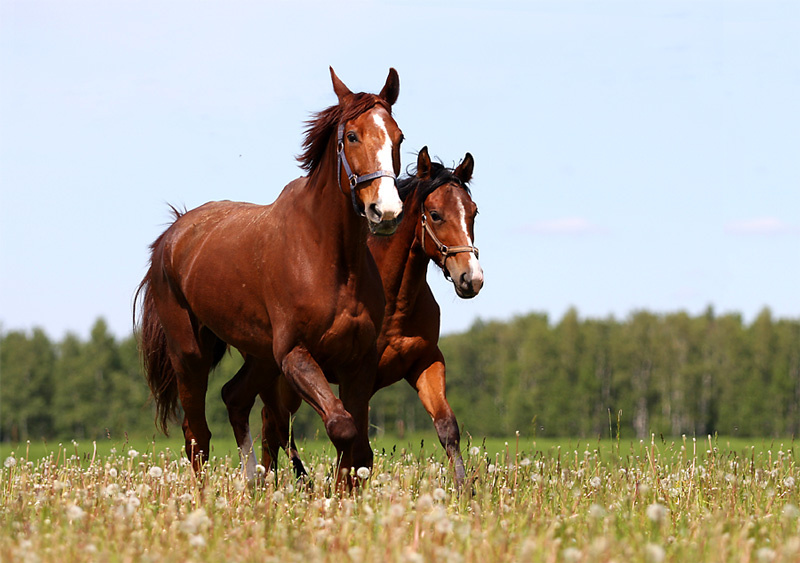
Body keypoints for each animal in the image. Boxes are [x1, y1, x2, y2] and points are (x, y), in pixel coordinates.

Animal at [134, 68, 405, 485]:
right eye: (352, 136)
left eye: (398, 136)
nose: (385, 210)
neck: (331, 259)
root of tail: (172, 235)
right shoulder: (294, 354)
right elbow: (341, 428)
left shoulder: (358, 362)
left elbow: (359, 450)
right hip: (190, 354)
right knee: (197, 435)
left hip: (260, 357)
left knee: (234, 398)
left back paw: (253, 482)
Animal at [222, 147, 483, 487]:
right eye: (436, 215)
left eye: (473, 212)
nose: (471, 278)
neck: (395, 301)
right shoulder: (360, 376)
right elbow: (356, 443)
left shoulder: (425, 361)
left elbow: (447, 426)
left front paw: (466, 491)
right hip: (283, 379)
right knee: (272, 424)